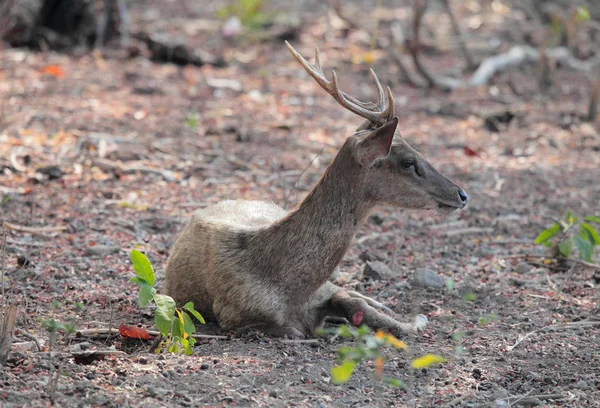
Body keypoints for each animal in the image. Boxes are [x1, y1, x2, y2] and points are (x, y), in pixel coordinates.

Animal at [165, 41, 468, 340]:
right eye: (407, 161)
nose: (462, 195)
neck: (288, 289)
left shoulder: (322, 292)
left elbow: (357, 306)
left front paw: (412, 318)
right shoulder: (234, 313)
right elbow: (295, 330)